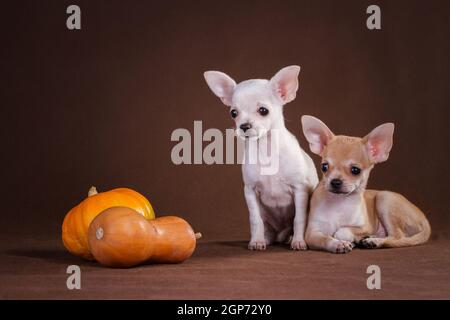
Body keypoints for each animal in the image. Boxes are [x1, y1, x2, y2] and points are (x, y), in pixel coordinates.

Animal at [202, 65, 318, 250]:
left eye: (263, 111)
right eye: (233, 113)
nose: (244, 126)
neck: (265, 149)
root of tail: (281, 233)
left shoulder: (300, 190)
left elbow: (299, 218)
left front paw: (299, 241)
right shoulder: (250, 191)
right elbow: (255, 219)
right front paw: (256, 241)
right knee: (266, 227)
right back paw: (266, 238)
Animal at [300, 116, 430, 254]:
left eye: (355, 170)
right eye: (324, 167)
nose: (335, 182)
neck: (339, 203)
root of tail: (425, 221)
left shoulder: (365, 226)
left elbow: (342, 231)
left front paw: (346, 238)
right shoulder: (312, 234)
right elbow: (326, 239)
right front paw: (339, 244)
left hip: (384, 198)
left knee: (397, 236)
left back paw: (373, 241)